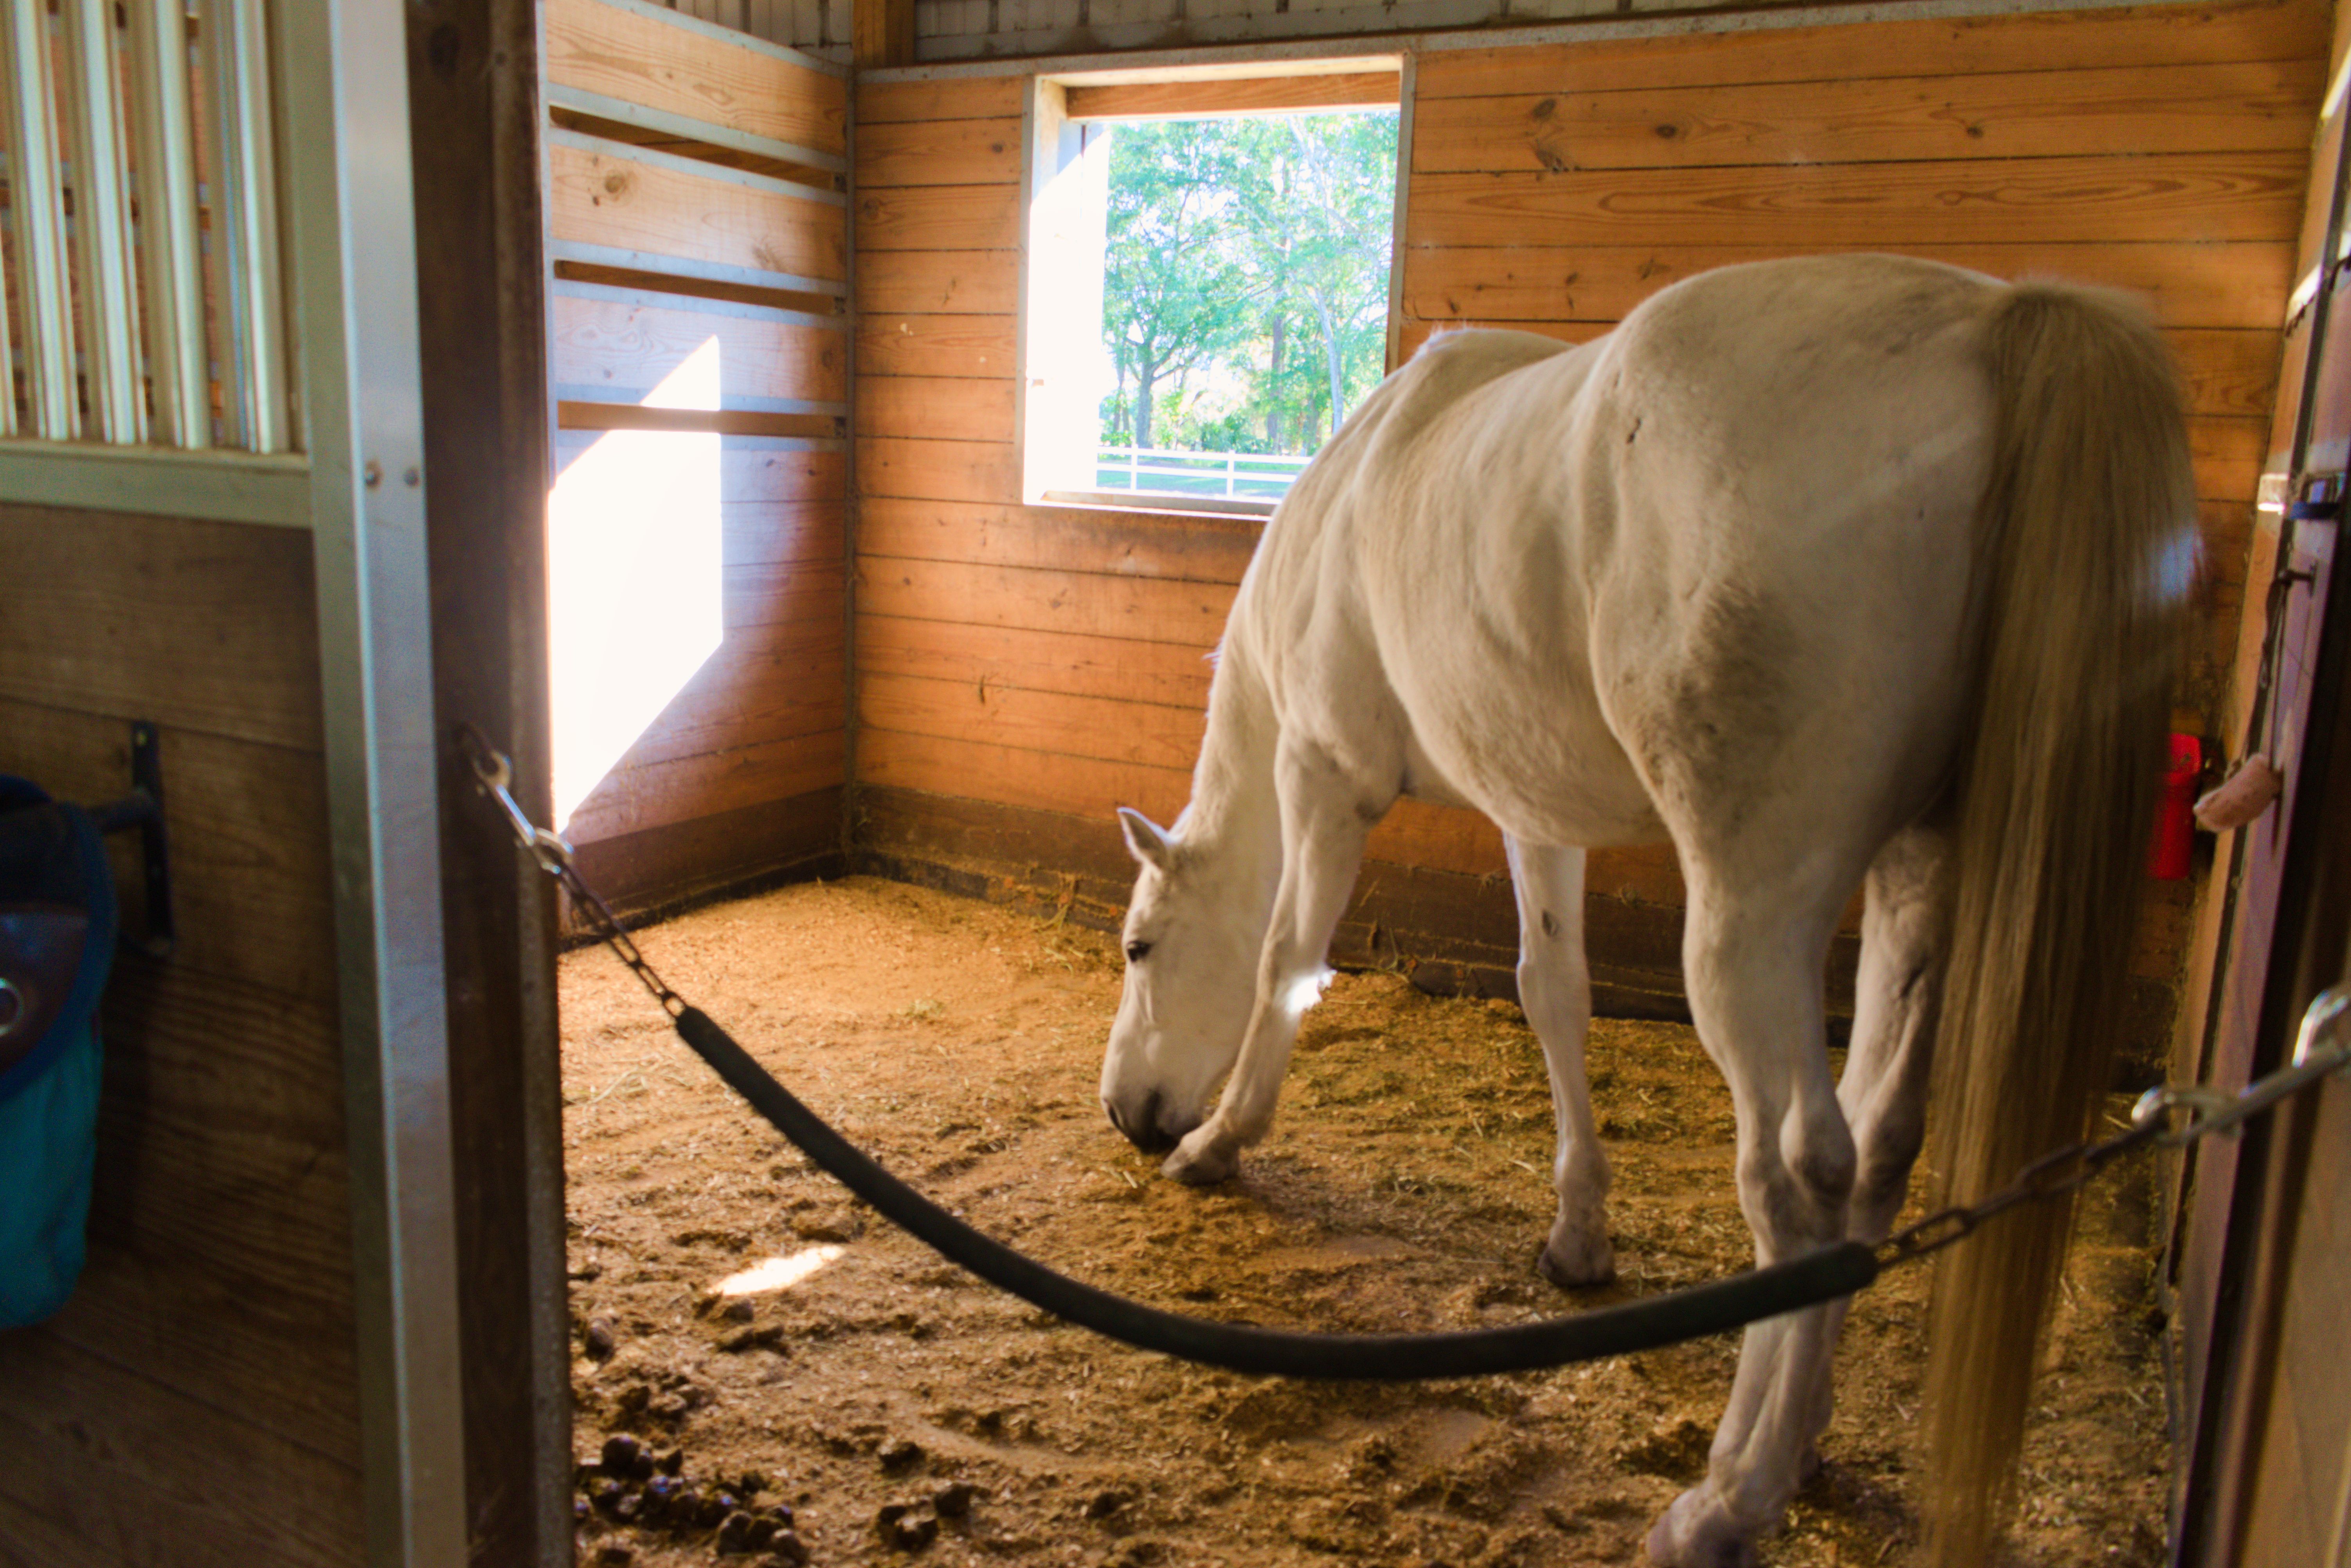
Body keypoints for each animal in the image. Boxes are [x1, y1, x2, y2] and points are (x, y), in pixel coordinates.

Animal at [1095, 253, 2194, 1567]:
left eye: (1139, 946)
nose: (1127, 1114)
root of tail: (1985, 317)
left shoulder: (1325, 778)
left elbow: (1284, 965)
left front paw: (1218, 1143)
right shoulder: (1533, 812)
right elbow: (1552, 996)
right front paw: (1578, 1235)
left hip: (1751, 915)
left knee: (1801, 1173)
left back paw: (1732, 1494)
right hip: (1914, 874)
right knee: (1878, 1143)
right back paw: (1801, 1436)